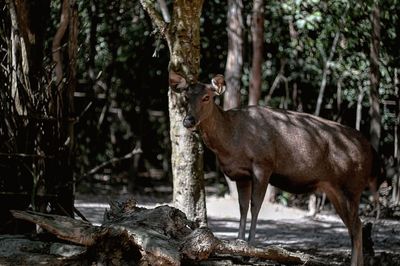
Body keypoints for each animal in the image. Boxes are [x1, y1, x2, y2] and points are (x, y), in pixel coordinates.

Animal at [169, 71, 382, 264]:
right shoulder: (241, 174)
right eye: (186, 97)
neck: (231, 142)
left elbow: (255, 206)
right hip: (334, 189)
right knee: (356, 225)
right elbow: (242, 207)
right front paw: (239, 247)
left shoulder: (263, 164)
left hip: (352, 186)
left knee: (357, 226)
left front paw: (251, 249)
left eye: (207, 97)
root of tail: (372, 152)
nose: (188, 120)